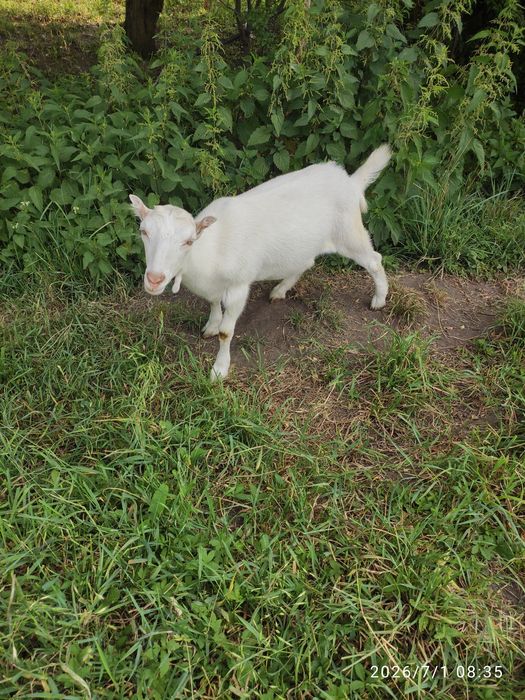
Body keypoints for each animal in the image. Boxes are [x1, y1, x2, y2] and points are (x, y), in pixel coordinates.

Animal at [130, 144, 391, 381]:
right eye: (144, 232)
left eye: (188, 241)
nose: (154, 279)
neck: (210, 248)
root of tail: (350, 181)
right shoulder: (213, 285)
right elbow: (213, 303)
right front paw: (211, 326)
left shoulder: (238, 285)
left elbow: (226, 332)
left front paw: (219, 370)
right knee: (306, 263)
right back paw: (280, 290)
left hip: (348, 232)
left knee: (374, 260)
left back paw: (379, 300)